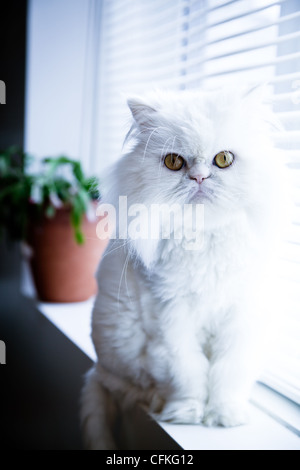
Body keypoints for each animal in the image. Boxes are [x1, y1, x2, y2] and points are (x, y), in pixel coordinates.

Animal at [81, 86, 282, 450]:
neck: (204, 241)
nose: (199, 178)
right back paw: (162, 405)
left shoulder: (240, 318)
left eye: (223, 159)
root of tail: (98, 369)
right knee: (134, 389)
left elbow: (228, 372)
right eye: (174, 162)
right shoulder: (170, 317)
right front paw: (189, 413)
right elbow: (187, 372)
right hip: (119, 350)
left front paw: (224, 416)